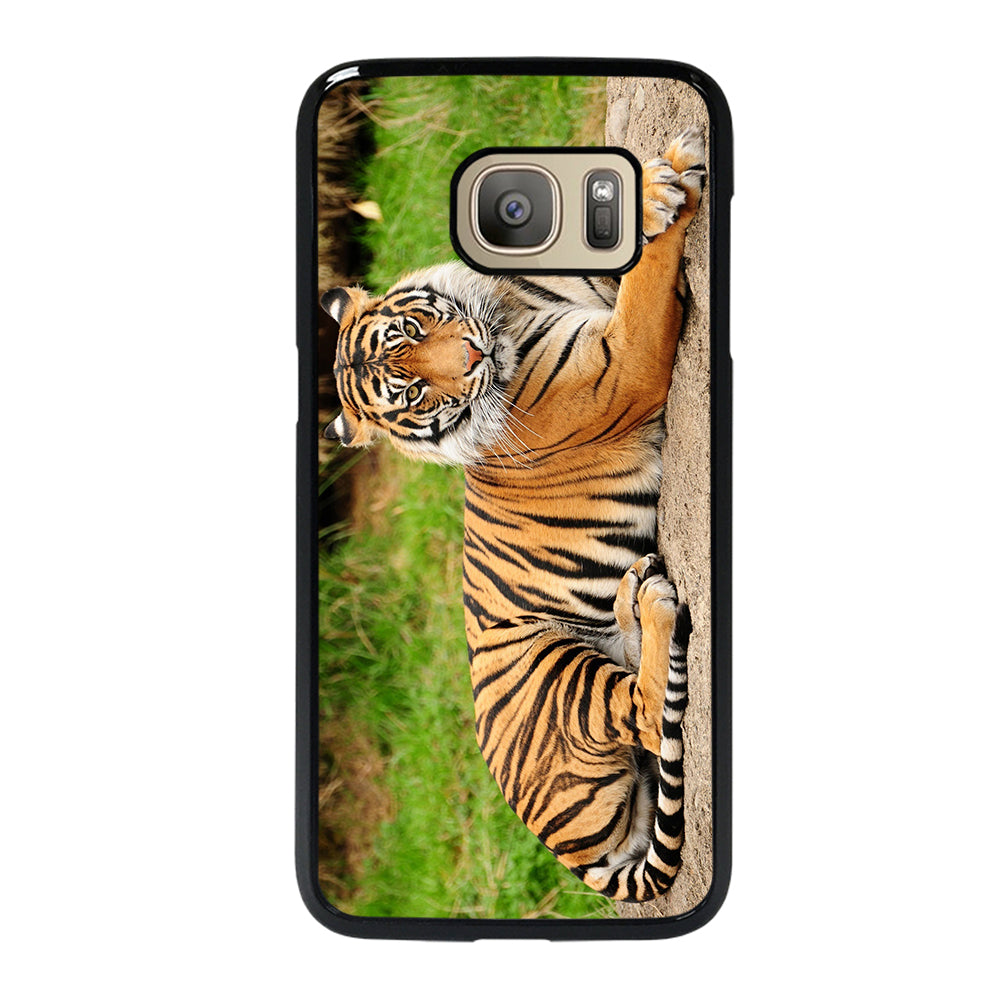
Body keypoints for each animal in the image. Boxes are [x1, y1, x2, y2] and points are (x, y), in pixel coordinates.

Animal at [321, 127, 706, 902]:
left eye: (412, 328)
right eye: (411, 392)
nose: (472, 357)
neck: (507, 306)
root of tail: (573, 856)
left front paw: (651, 186)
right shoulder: (624, 363)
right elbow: (647, 278)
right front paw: (665, 190)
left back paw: (634, 593)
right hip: (554, 670)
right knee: (648, 714)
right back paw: (652, 603)